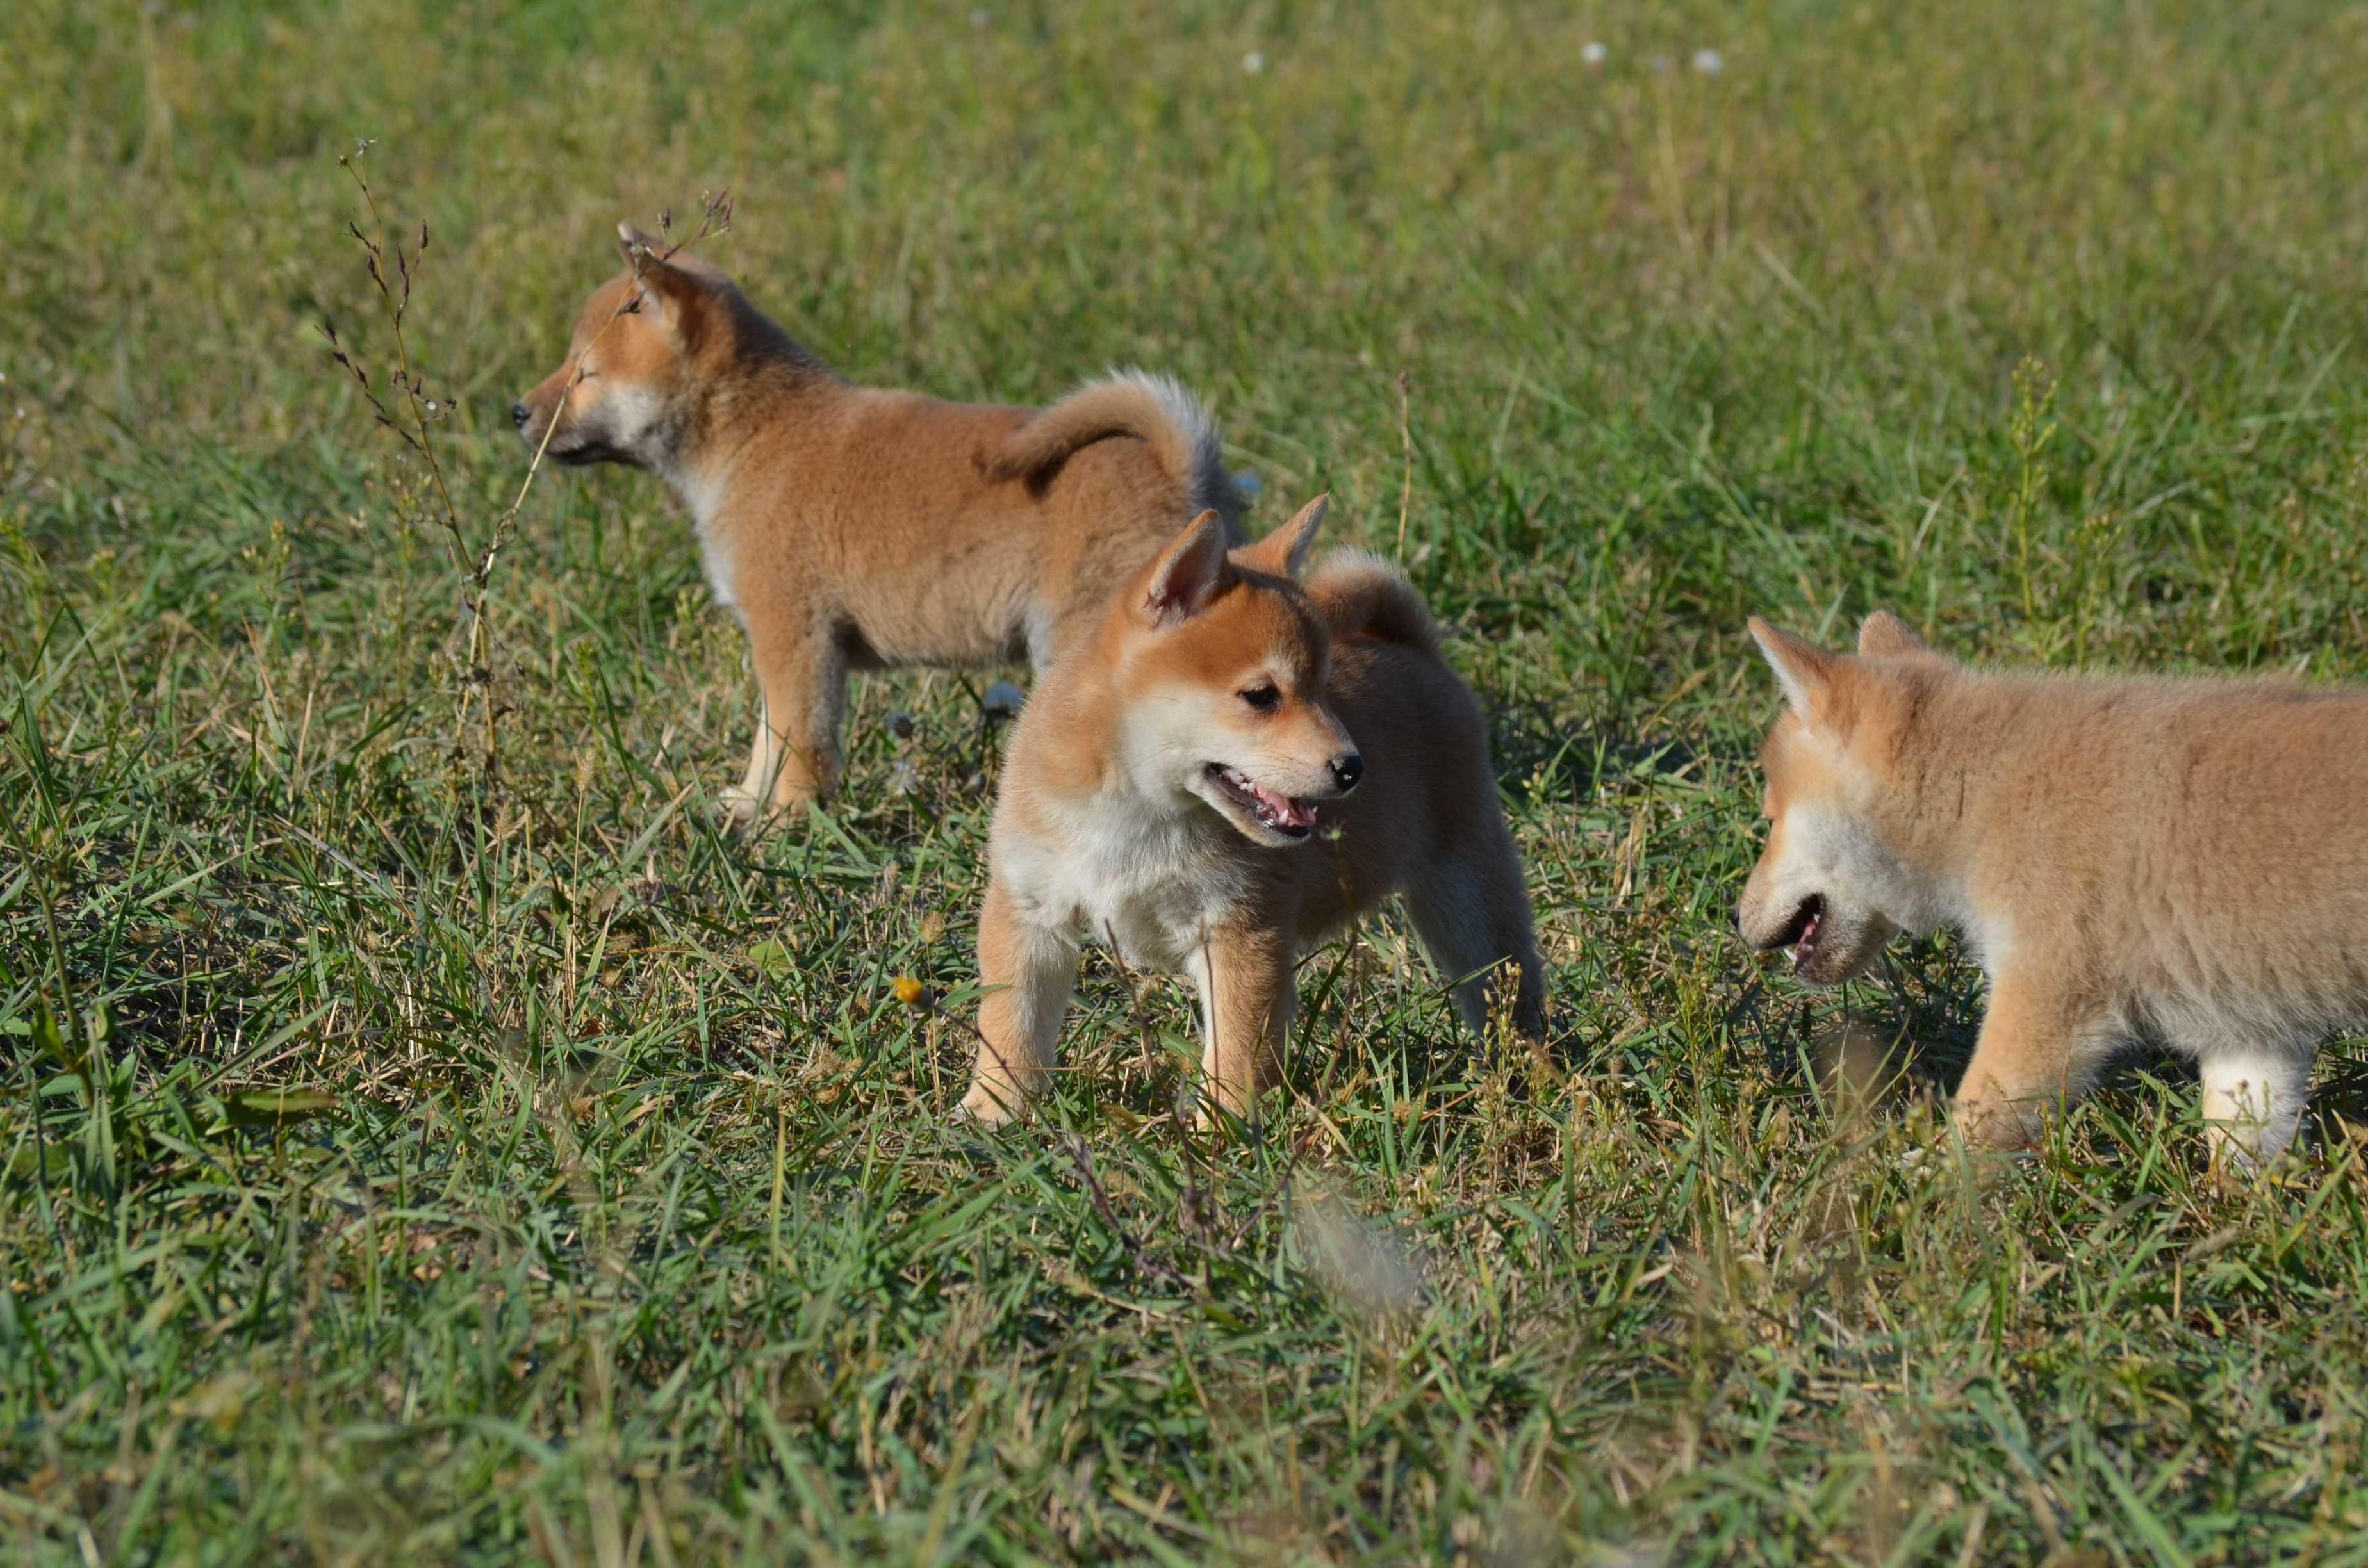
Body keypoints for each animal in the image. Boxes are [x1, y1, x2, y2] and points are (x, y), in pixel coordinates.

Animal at [514, 228, 1240, 833]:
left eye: (584, 373)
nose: (517, 411)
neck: (753, 438)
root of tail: (1179, 469)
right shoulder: (778, 646)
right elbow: (769, 737)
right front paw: (749, 804)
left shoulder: (797, 637)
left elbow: (801, 742)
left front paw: (787, 825)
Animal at [961, 500, 1553, 1132]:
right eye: (1262, 696)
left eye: (1324, 689)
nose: (1353, 768)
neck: (1138, 811)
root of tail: (1414, 650)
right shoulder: (1030, 912)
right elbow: (1012, 1023)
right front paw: (993, 1110)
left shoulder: (1239, 929)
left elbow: (1234, 1053)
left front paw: (1217, 1135)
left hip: (1469, 907)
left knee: (1507, 993)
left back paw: (1530, 1077)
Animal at [1733, 616, 2368, 1165]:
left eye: (1770, 819)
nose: (1735, 919)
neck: (1983, 790)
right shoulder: (2253, 1032)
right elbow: (2243, 1146)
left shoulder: (2043, 1002)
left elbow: (1973, 1128)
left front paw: (1904, 1192)